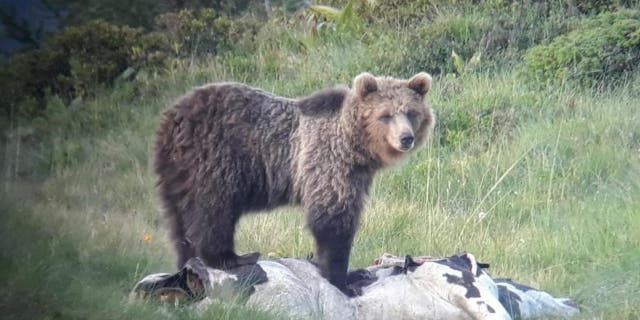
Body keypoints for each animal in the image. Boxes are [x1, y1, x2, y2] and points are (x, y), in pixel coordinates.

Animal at [155, 72, 436, 296]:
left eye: (411, 112)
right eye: (385, 115)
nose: (406, 138)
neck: (355, 146)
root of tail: (173, 117)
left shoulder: (357, 173)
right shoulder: (328, 161)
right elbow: (332, 219)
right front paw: (343, 280)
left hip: (177, 172)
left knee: (179, 219)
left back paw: (188, 261)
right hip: (216, 158)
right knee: (214, 209)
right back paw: (232, 257)